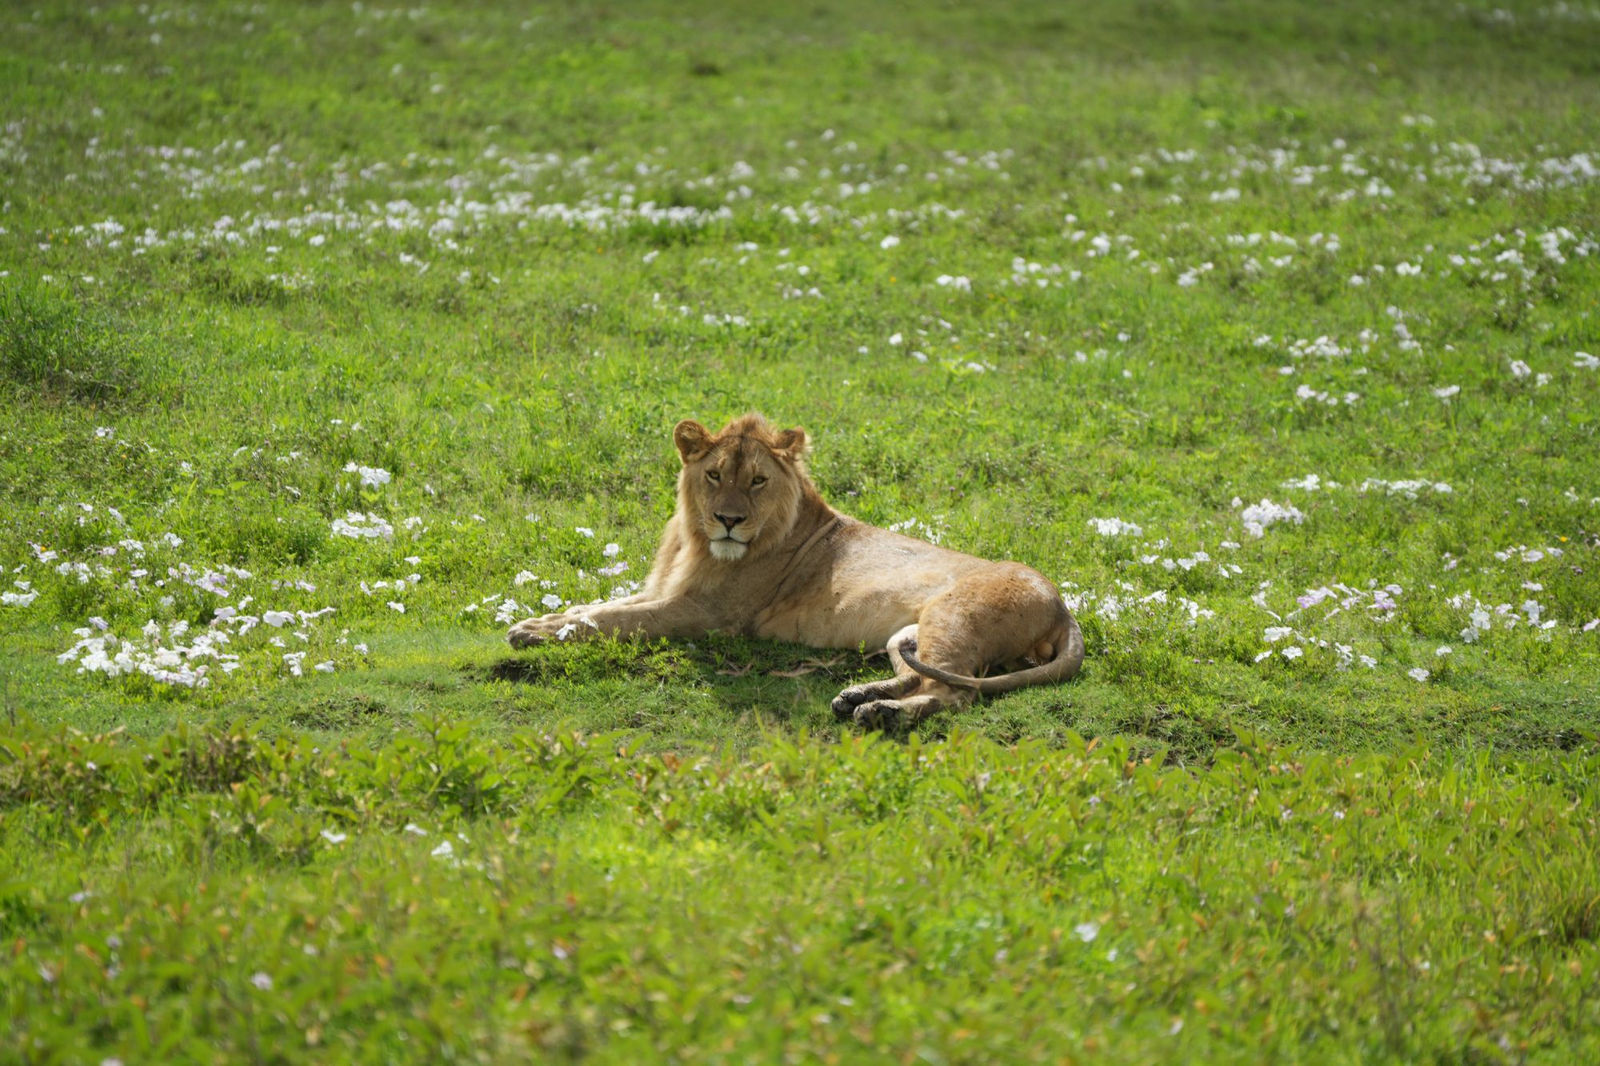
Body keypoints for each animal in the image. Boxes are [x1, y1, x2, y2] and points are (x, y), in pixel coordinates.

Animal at [507, 413, 1083, 727]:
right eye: (714, 475)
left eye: (758, 481)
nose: (729, 520)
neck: (694, 541)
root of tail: (1063, 606)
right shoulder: (667, 589)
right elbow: (599, 606)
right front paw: (542, 622)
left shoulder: (707, 614)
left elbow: (614, 621)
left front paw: (535, 633)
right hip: (909, 633)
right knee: (921, 674)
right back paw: (857, 695)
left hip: (953, 618)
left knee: (956, 692)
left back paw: (882, 715)